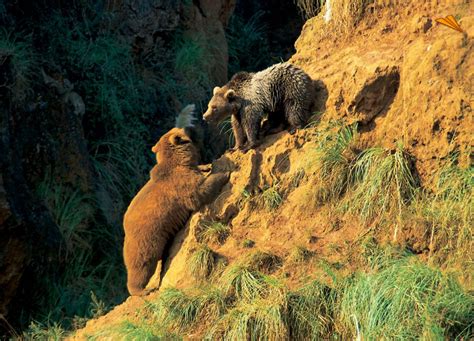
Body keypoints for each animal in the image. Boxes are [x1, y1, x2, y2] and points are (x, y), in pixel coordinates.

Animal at [123, 126, 229, 294]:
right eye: (183, 129)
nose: (192, 126)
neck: (179, 161)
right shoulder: (181, 183)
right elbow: (199, 193)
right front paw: (223, 173)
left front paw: (207, 166)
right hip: (147, 238)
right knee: (142, 265)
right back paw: (141, 290)